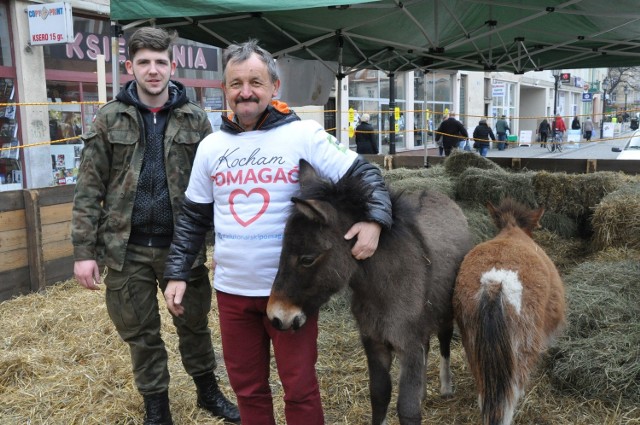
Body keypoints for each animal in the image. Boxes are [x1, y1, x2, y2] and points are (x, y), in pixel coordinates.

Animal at [268, 160, 472, 424]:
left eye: (307, 259)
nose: (275, 316)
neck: (381, 289)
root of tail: (436, 193)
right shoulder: (374, 342)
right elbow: (379, 394)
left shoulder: (408, 345)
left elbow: (407, 408)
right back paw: (424, 391)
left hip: (446, 310)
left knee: (444, 339)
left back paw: (446, 387)